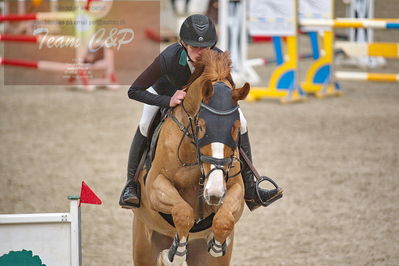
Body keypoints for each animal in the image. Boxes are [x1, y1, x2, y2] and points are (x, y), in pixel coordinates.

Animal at [133, 49, 248, 264]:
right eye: (201, 126)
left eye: (236, 128)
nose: (214, 192)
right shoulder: (155, 185)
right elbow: (183, 212)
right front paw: (177, 250)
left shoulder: (236, 187)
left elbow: (224, 219)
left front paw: (217, 243)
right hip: (144, 245)